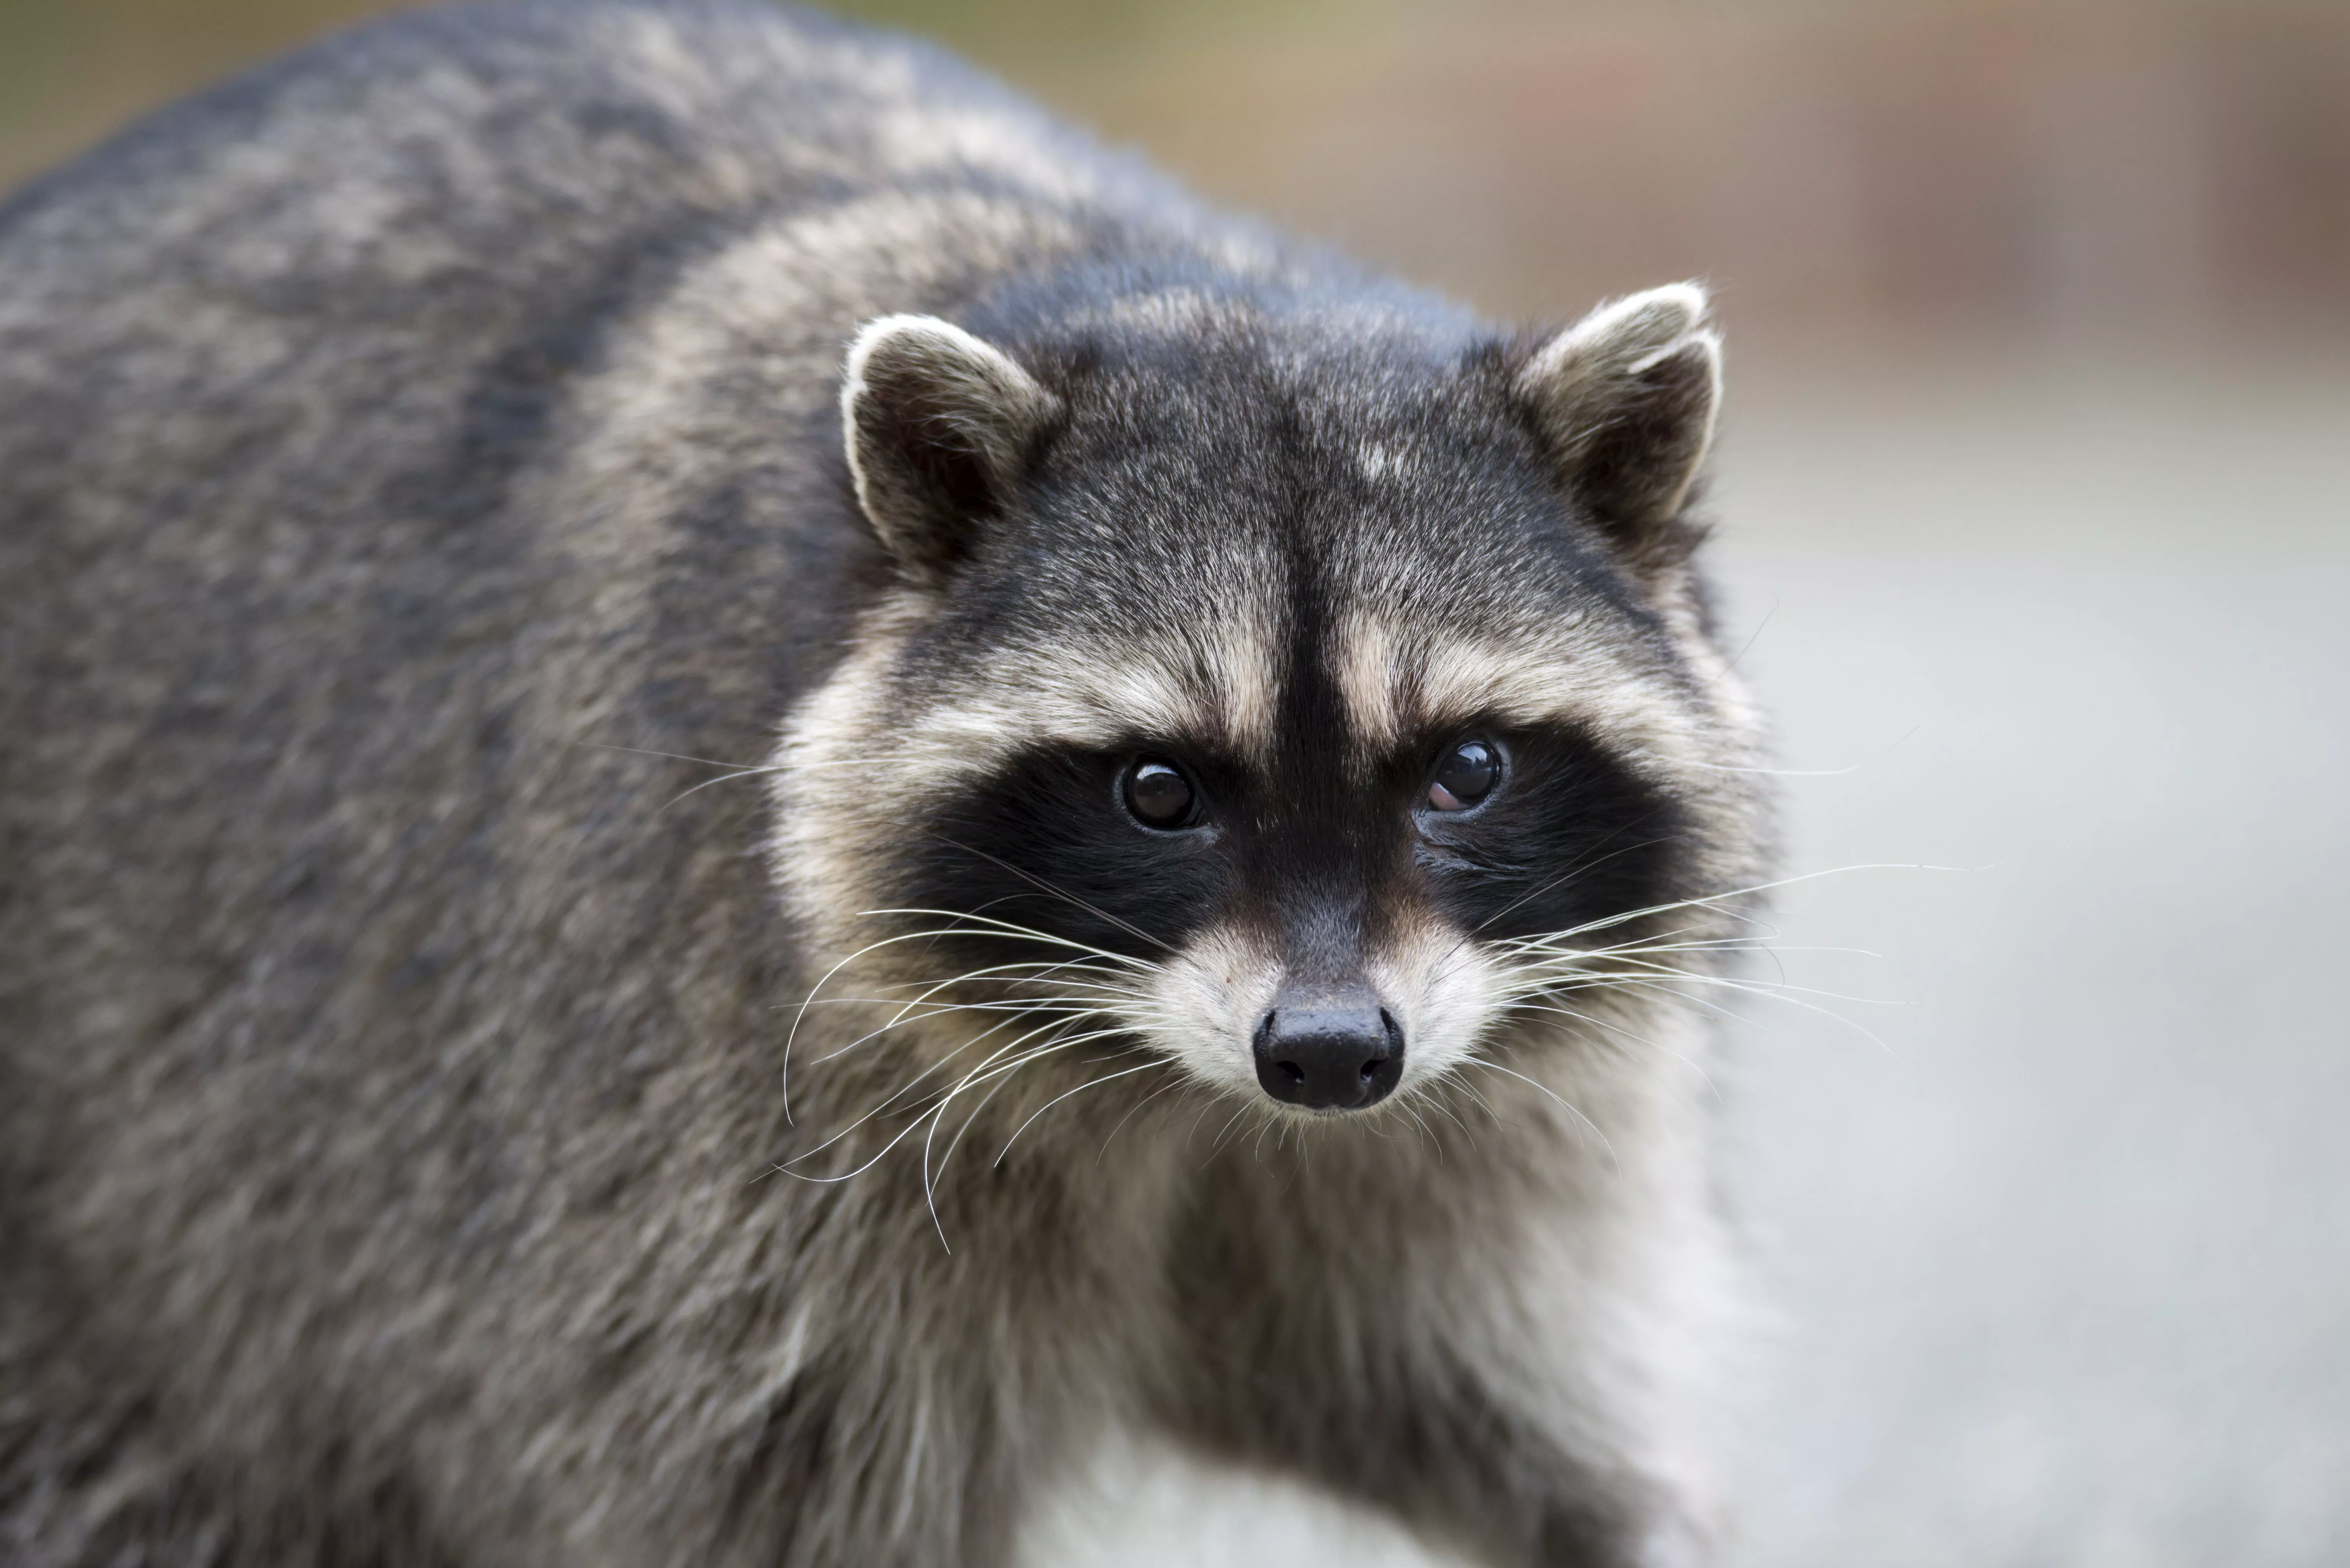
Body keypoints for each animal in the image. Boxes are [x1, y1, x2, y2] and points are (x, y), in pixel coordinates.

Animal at [0, 2, 1769, 1565]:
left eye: (1463, 769)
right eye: (1155, 791)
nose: (1329, 1053)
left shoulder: (1488, 1133)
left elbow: (1529, 1414)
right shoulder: (692, 1121)